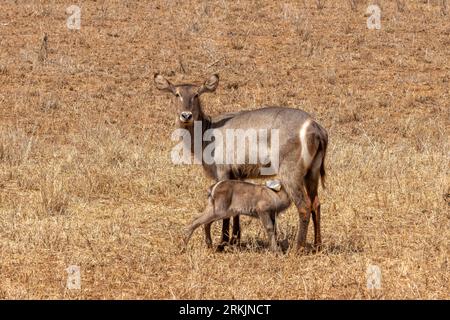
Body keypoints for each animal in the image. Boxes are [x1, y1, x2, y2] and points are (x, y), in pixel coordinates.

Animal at [155, 74, 326, 251]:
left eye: (196, 94)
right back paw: (317, 245)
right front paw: (235, 240)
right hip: (312, 174)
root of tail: (315, 127)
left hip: (291, 174)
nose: (186, 115)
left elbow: (226, 214)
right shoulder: (239, 175)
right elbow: (236, 208)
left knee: (304, 206)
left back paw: (298, 249)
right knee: (316, 204)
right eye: (177, 94)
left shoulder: (222, 172)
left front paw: (223, 243)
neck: (207, 131)